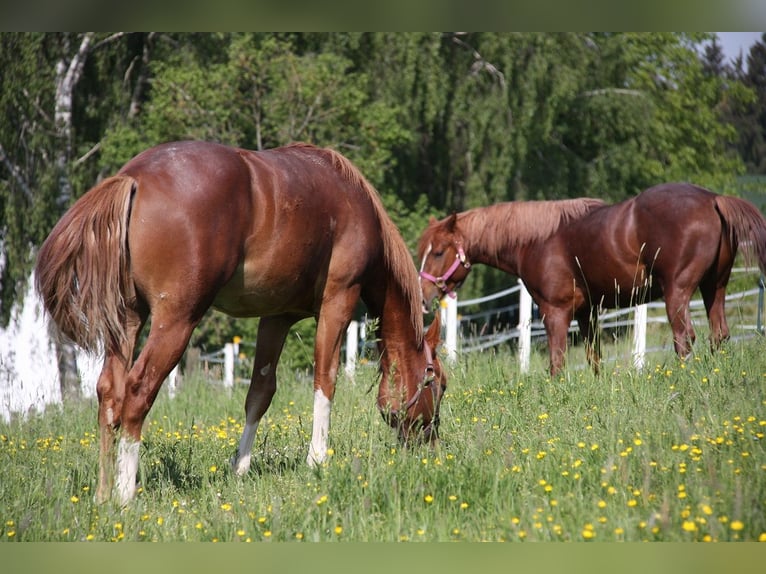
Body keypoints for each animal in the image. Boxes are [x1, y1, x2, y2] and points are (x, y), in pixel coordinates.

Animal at [36, 141, 444, 504]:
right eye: (438, 384)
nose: (432, 445)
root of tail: (134, 177)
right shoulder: (338, 301)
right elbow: (325, 378)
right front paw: (317, 459)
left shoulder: (277, 316)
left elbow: (260, 392)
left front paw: (240, 466)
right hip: (176, 320)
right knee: (138, 392)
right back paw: (124, 494)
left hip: (129, 319)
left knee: (110, 392)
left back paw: (104, 493)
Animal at [420, 182, 766, 376]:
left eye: (438, 252)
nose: (423, 296)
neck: (537, 240)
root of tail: (713, 199)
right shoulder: (588, 312)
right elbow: (593, 357)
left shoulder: (555, 311)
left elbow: (557, 361)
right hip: (714, 287)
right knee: (718, 335)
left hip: (678, 292)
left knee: (684, 338)